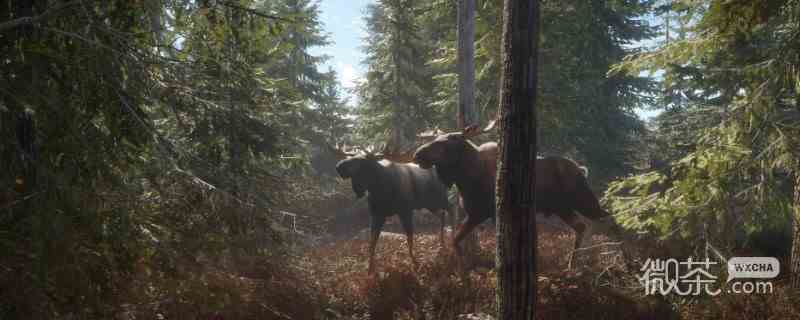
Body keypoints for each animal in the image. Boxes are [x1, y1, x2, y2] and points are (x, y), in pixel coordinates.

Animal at [412, 122, 620, 260]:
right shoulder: (476, 213)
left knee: (609, 220)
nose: (417, 154)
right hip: (563, 208)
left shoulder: (489, 213)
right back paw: (576, 262)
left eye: (450, 141)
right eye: (436, 139)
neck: (467, 179)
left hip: (582, 199)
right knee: (583, 226)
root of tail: (581, 169)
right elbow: (455, 240)